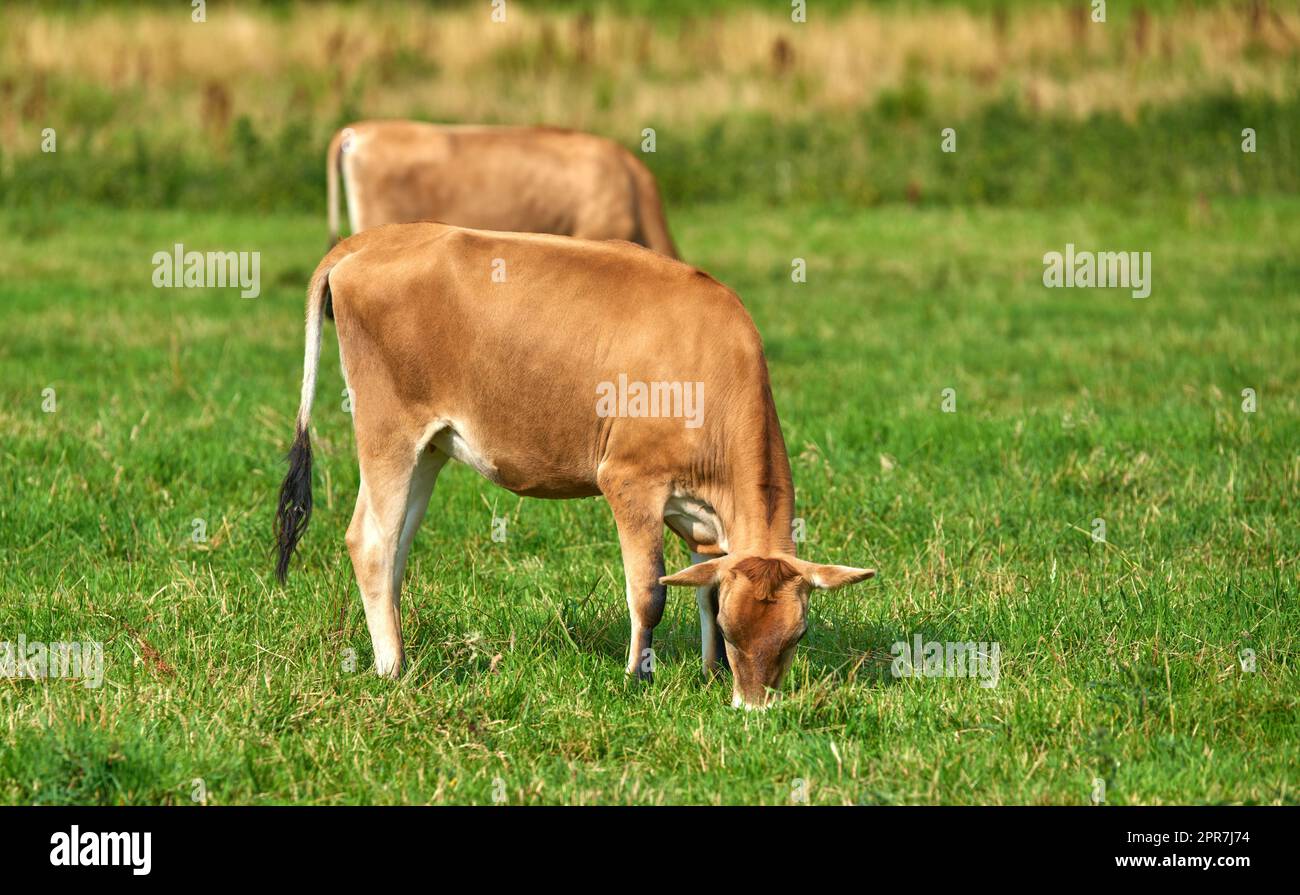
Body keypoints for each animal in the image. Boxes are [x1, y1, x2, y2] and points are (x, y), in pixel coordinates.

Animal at [279, 222, 878, 707]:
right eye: (735, 633)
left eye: (797, 636)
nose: (754, 708)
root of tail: (373, 239)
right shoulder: (630, 481)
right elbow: (651, 592)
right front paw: (638, 678)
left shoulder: (702, 518)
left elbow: (703, 585)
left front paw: (709, 675)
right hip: (388, 429)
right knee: (370, 541)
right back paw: (391, 669)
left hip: (428, 447)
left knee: (396, 544)